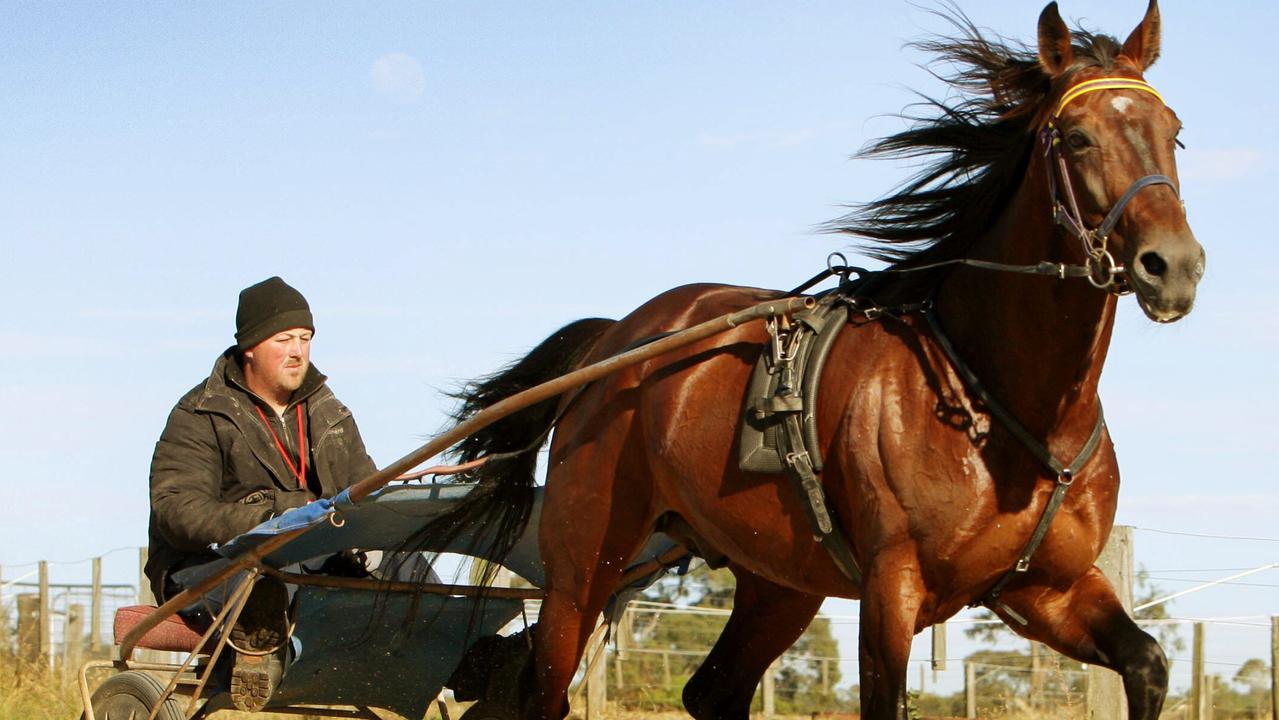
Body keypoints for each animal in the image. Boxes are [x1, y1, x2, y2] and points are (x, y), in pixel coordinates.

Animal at [427, 2, 1197, 716]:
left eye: (1174, 133)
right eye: (1078, 137)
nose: (1174, 266)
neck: (1007, 408)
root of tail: (617, 339)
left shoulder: (1047, 588)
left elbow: (1149, 663)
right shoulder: (893, 589)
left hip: (776, 579)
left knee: (712, 690)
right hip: (582, 566)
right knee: (546, 692)